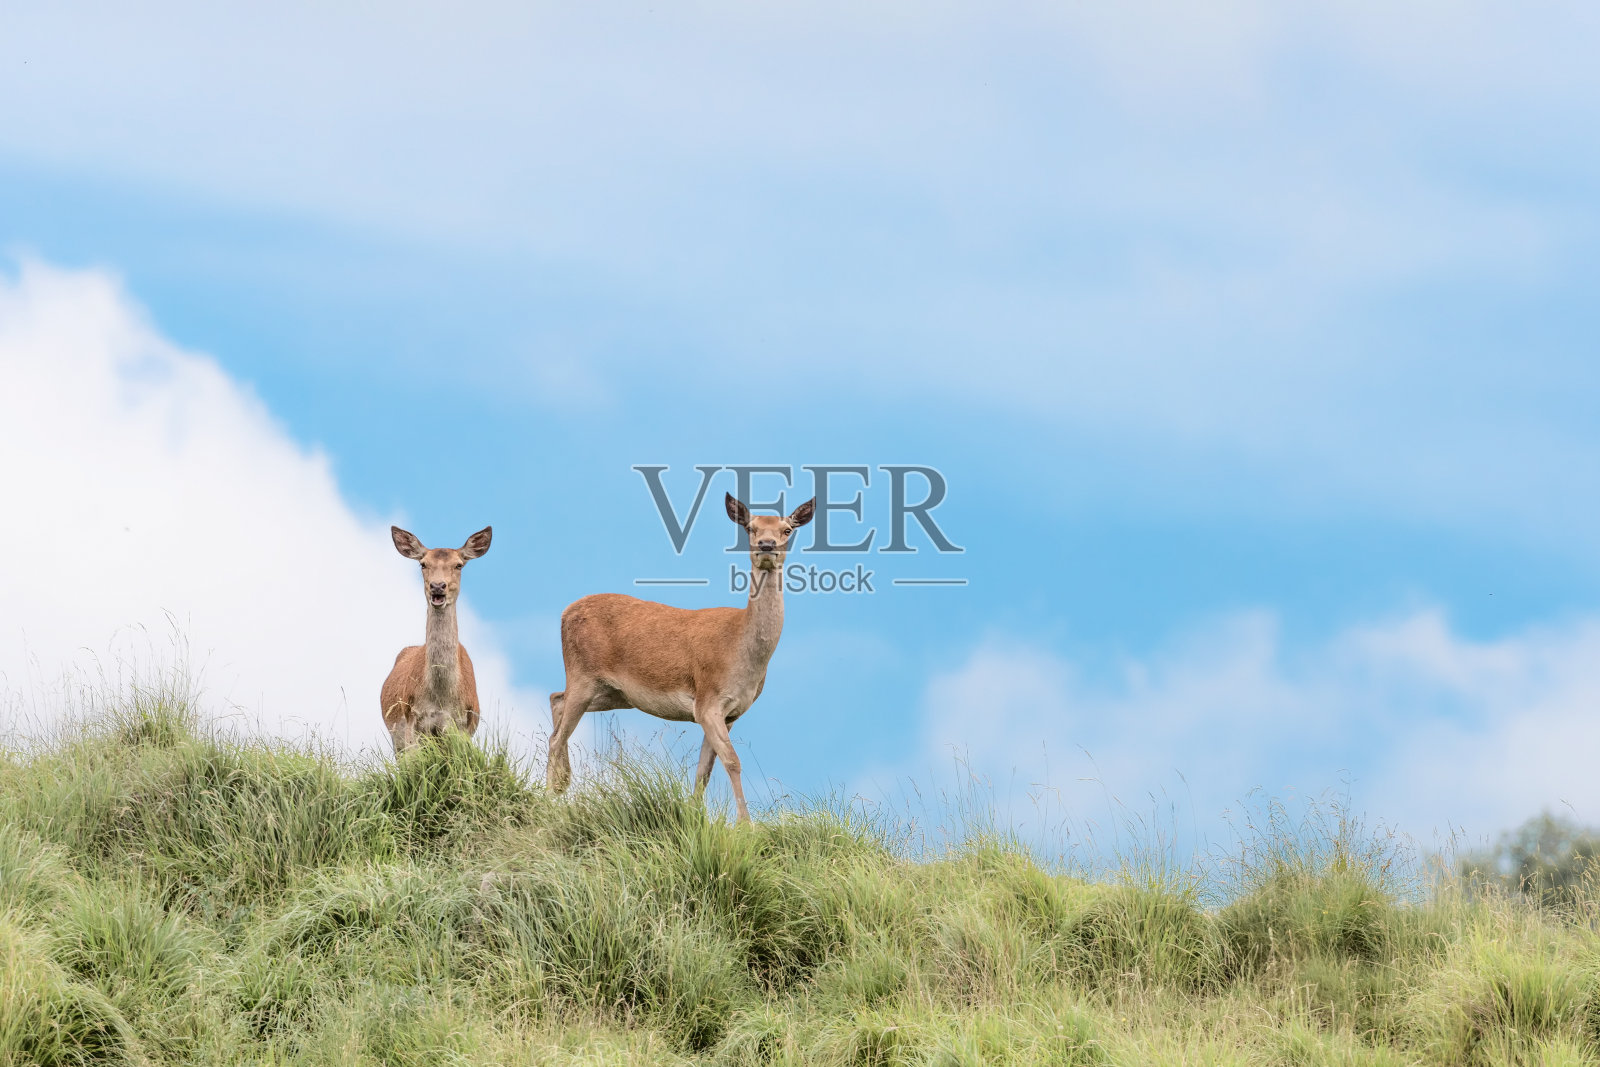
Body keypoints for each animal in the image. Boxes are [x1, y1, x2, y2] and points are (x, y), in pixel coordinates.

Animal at [380, 525, 493, 754]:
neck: (441, 699)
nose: (438, 586)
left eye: (459, 565)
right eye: (423, 564)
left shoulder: (463, 727)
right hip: (397, 739)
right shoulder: (412, 721)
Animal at [547, 493, 815, 822]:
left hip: (611, 692)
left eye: (787, 529)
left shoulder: (731, 714)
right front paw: (745, 825)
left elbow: (704, 771)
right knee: (557, 733)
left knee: (556, 700)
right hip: (582, 673)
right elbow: (732, 761)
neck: (740, 650)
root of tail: (564, 613)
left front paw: (696, 818)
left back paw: (560, 785)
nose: (766, 545)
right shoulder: (707, 701)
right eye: (750, 527)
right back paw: (548, 796)